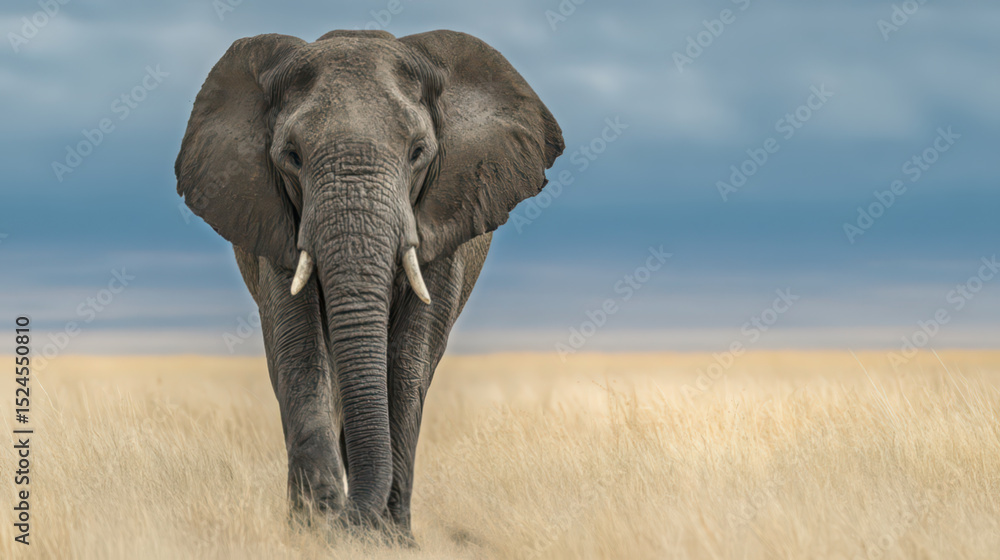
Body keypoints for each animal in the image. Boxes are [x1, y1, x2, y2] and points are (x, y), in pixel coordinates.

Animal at [174, 29, 564, 541]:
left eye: (418, 152)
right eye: (292, 156)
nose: (345, 517)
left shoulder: (442, 219)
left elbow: (408, 359)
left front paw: (387, 538)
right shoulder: (275, 220)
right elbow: (298, 346)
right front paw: (316, 527)